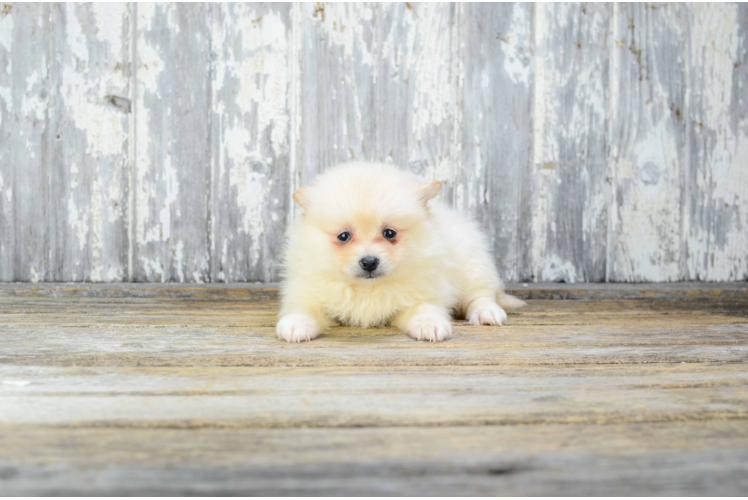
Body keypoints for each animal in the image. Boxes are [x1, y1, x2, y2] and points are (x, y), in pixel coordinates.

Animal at [276, 162, 524, 342]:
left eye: (389, 233)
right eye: (343, 236)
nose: (369, 262)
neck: (368, 289)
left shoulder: (424, 291)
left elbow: (425, 308)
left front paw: (430, 324)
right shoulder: (308, 289)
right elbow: (303, 307)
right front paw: (296, 324)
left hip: (472, 263)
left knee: (480, 294)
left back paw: (487, 313)